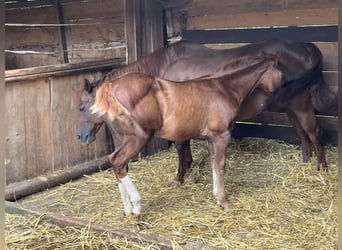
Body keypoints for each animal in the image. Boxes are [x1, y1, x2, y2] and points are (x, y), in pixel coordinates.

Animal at [77, 39, 334, 186]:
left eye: (83, 106)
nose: (82, 137)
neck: (161, 73)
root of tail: (309, 48)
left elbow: (180, 146)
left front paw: (179, 177)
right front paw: (188, 168)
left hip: (300, 104)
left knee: (314, 132)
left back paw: (322, 169)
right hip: (290, 107)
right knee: (303, 134)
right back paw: (306, 162)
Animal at [84, 53, 282, 214]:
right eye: (281, 73)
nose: (278, 93)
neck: (223, 87)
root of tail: (110, 87)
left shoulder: (211, 138)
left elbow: (213, 163)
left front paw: (216, 197)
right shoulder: (222, 135)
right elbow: (220, 165)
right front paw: (224, 202)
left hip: (121, 139)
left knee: (118, 165)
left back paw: (127, 209)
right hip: (138, 138)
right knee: (117, 161)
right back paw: (136, 206)